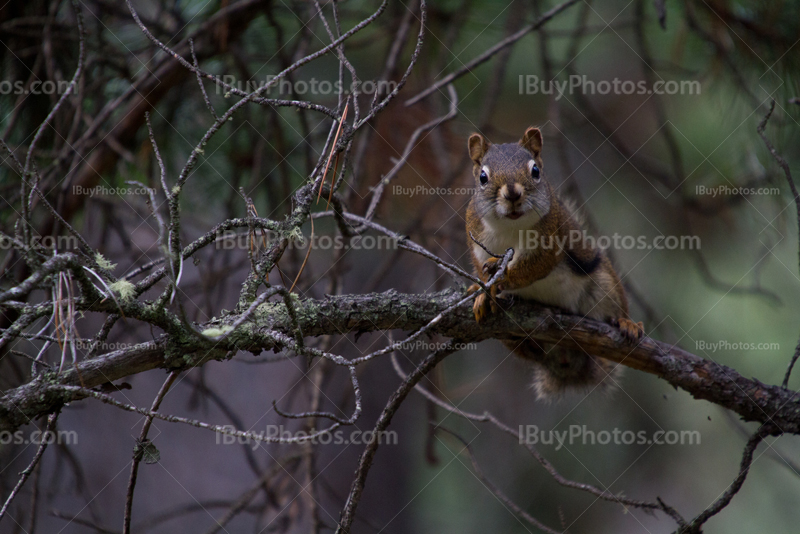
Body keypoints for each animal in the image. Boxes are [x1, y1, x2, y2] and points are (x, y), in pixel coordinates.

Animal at [462, 127, 644, 400]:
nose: (512, 194)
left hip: (604, 283)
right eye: (483, 177)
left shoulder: (551, 238)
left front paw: (503, 278)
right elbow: (481, 269)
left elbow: (535, 267)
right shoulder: (475, 238)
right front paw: (483, 292)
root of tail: (565, 358)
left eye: (536, 171)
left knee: (615, 305)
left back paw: (626, 323)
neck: (510, 226)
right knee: (529, 351)